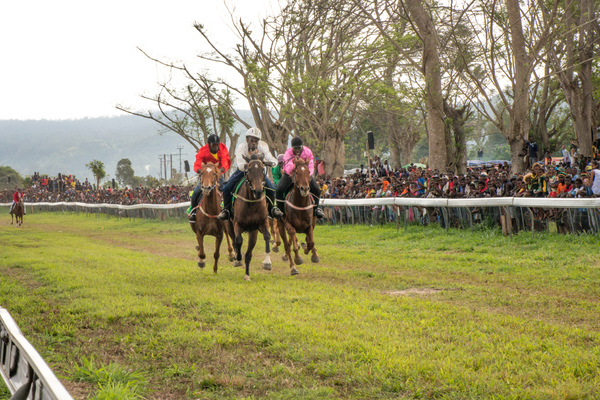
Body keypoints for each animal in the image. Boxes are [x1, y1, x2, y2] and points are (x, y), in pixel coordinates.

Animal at [227, 154, 274, 282]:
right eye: (248, 170)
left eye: (262, 169)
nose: (258, 191)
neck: (251, 203)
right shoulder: (237, 224)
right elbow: (238, 240)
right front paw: (238, 257)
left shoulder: (261, 223)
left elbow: (267, 236)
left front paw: (267, 262)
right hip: (229, 226)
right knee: (234, 241)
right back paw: (237, 258)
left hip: (253, 233)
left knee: (249, 254)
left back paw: (247, 275)